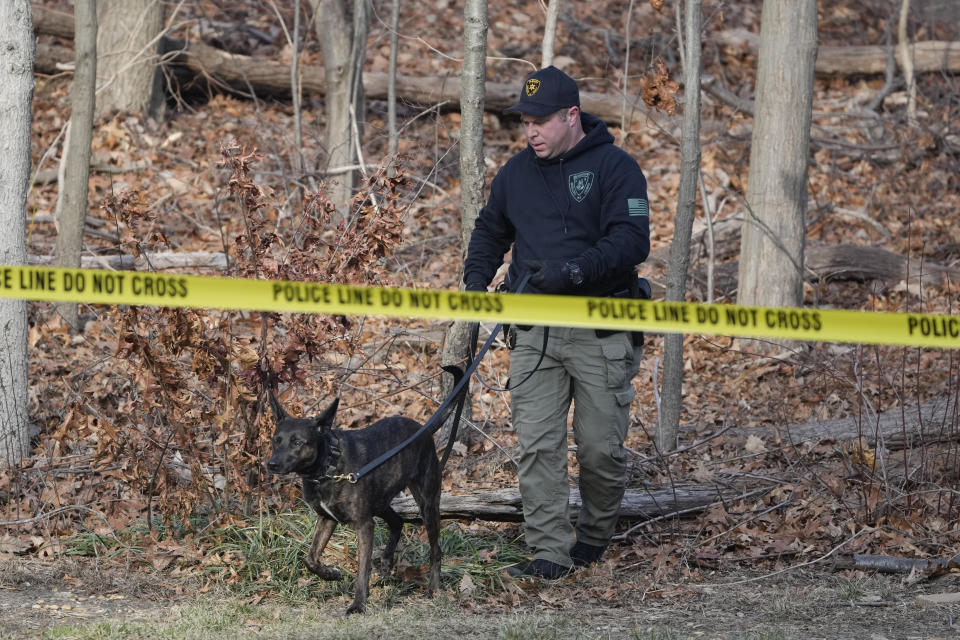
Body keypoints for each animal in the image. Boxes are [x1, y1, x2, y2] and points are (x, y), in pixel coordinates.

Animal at [260, 370, 460, 616]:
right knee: (397, 522)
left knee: (435, 550)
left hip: (427, 503)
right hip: (380, 501)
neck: (328, 466)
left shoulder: (364, 525)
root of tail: (423, 430)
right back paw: (386, 562)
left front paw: (358, 604)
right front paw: (331, 574)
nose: (272, 464)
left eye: (297, 442)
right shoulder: (327, 519)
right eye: (275, 440)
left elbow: (362, 570)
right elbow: (311, 559)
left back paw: (432, 588)